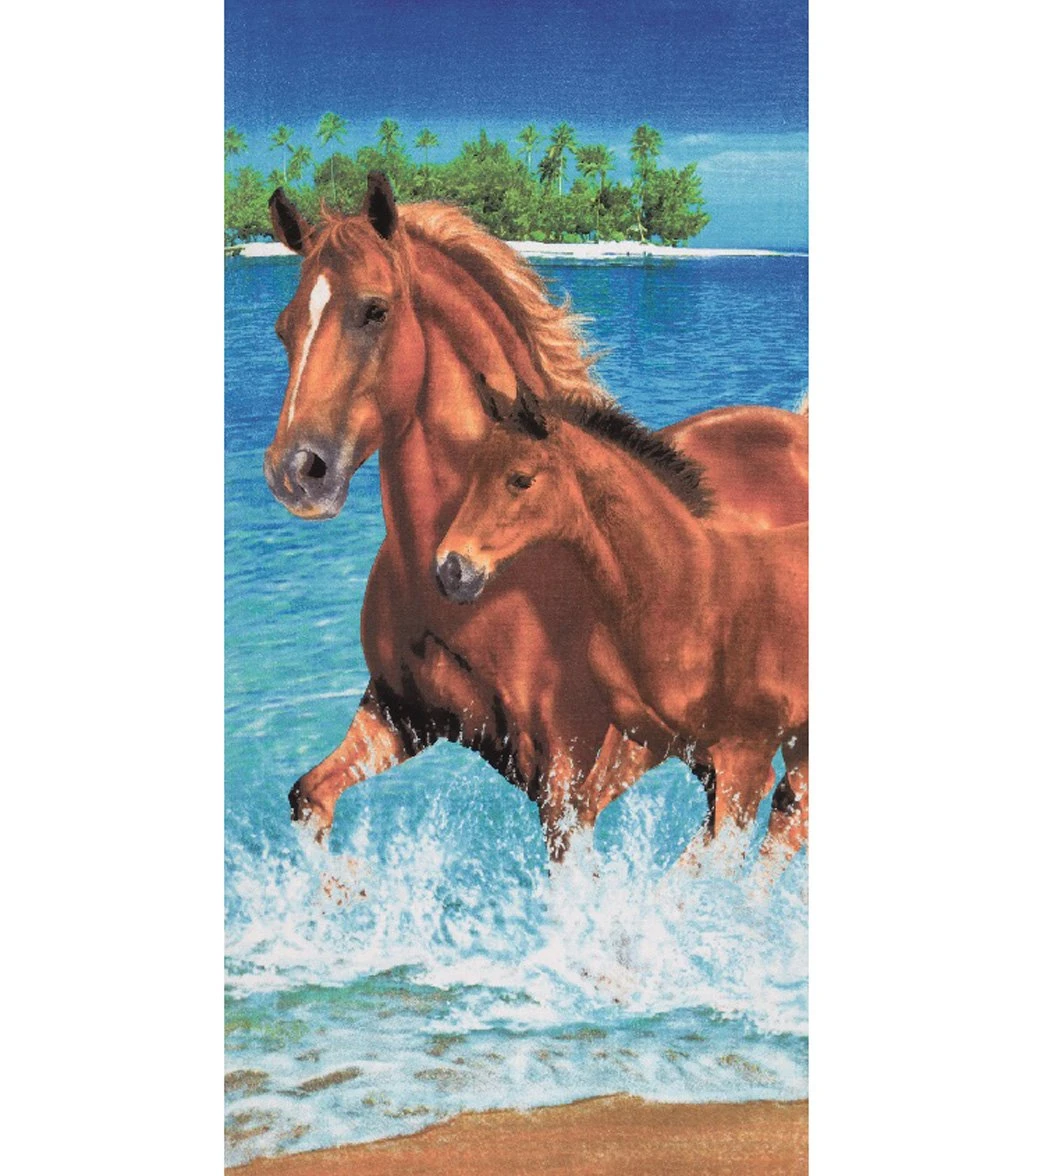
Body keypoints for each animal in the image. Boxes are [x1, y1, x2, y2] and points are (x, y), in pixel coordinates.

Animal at [436, 377, 808, 863]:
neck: (685, 591)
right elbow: (578, 817)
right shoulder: (649, 742)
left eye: (521, 479)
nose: (450, 569)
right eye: (473, 473)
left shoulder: (744, 758)